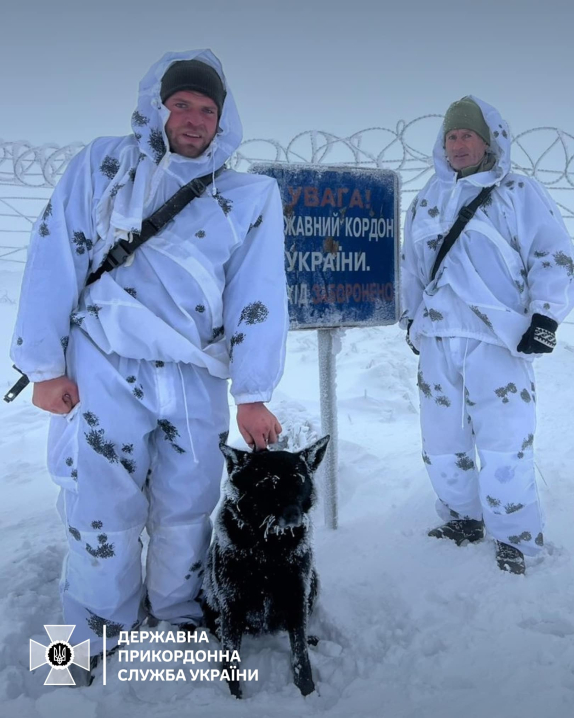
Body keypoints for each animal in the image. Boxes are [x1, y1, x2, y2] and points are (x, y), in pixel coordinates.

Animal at [202, 436, 330, 700]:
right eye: (267, 484)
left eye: (299, 480)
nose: (293, 515)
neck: (268, 551)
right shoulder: (231, 604)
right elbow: (231, 658)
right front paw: (233, 696)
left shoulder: (296, 596)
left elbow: (300, 653)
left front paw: (307, 692)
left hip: (313, 582)